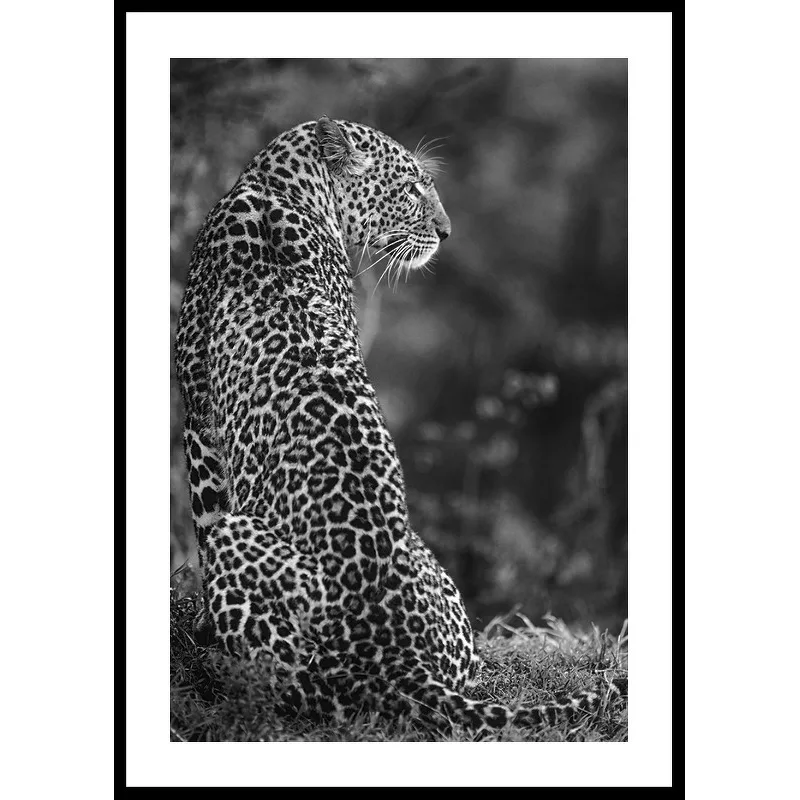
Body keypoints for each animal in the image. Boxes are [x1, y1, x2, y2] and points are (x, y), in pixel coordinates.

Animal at [174, 116, 627, 735]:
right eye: (411, 188)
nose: (447, 232)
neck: (275, 185)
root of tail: (398, 661)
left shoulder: (197, 414)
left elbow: (203, 512)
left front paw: (197, 628)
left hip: (245, 551)